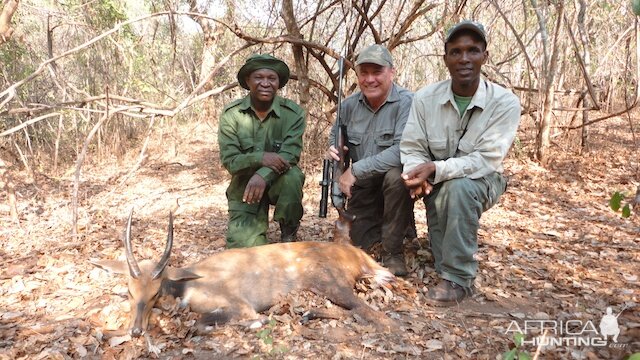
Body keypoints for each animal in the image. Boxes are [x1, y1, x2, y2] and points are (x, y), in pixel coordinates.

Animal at [92, 212, 398, 336]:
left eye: (156, 292)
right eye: (130, 291)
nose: (135, 331)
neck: (188, 285)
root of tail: (358, 254)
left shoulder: (240, 305)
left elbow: (201, 323)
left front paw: (257, 323)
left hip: (329, 283)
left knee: (374, 315)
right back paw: (307, 314)